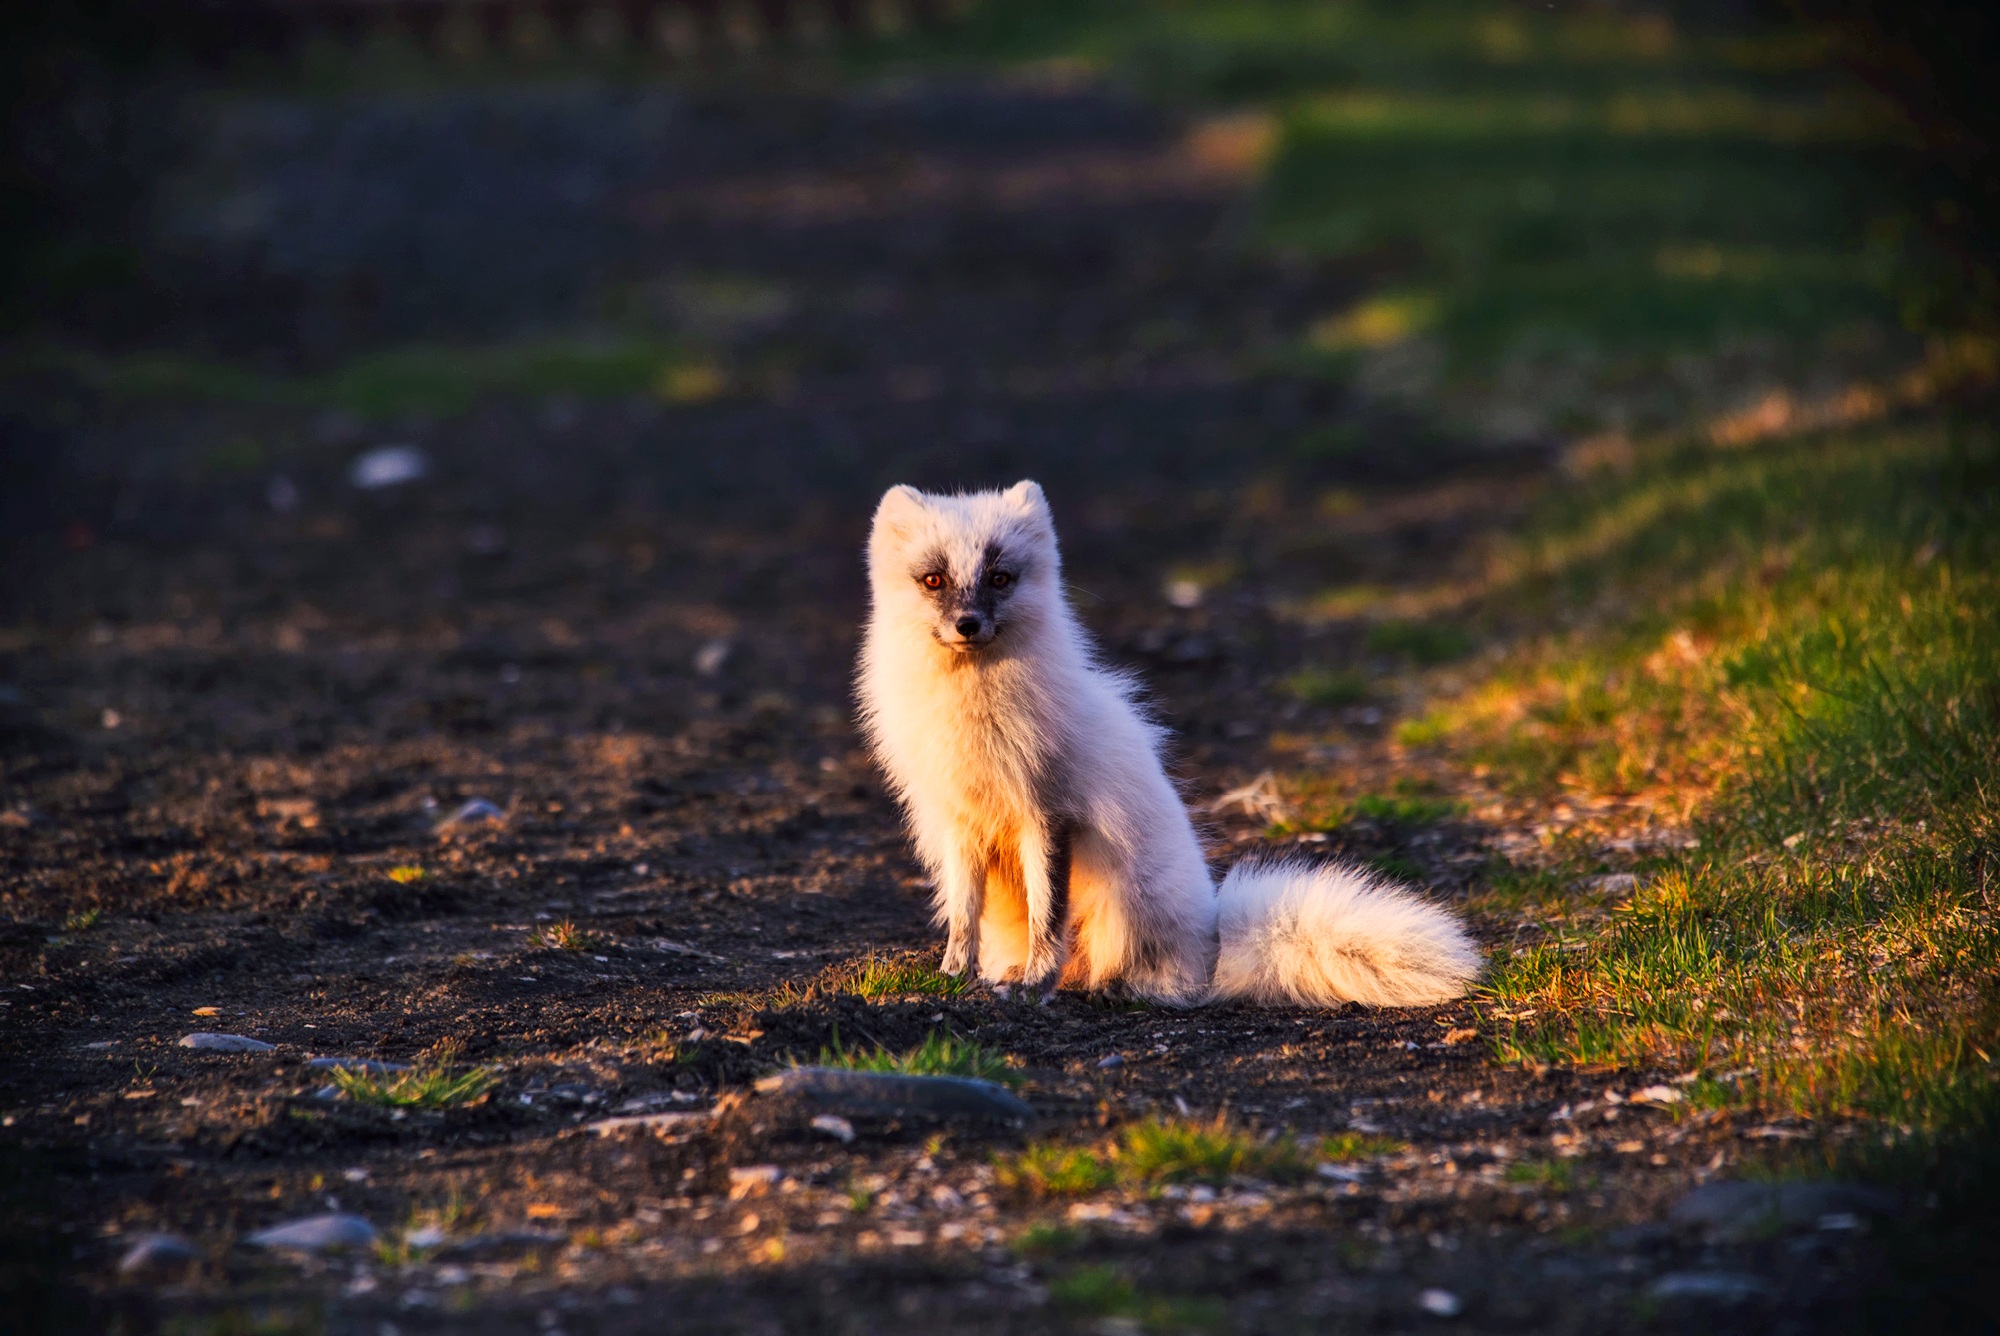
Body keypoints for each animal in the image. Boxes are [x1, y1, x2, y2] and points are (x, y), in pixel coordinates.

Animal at [852, 486, 1480, 1008]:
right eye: (934, 580)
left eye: (1000, 578)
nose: (967, 624)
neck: (969, 715)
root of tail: (1214, 944)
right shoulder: (959, 822)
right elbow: (963, 915)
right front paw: (953, 977)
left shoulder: (1048, 814)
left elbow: (1047, 920)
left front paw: (1034, 986)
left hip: (1124, 906)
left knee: (1158, 982)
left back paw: (1107, 988)